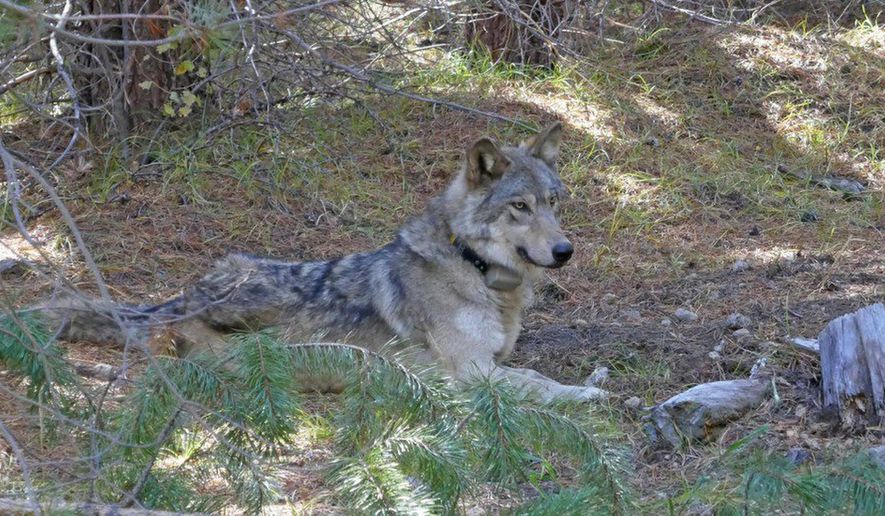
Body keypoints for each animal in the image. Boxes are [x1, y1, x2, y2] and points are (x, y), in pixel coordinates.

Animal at [47, 123, 607, 402]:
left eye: (553, 202)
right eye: (520, 207)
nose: (565, 251)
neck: (474, 268)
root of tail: (180, 299)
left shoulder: (493, 360)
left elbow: (531, 371)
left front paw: (593, 380)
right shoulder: (470, 372)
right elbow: (539, 384)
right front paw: (584, 394)